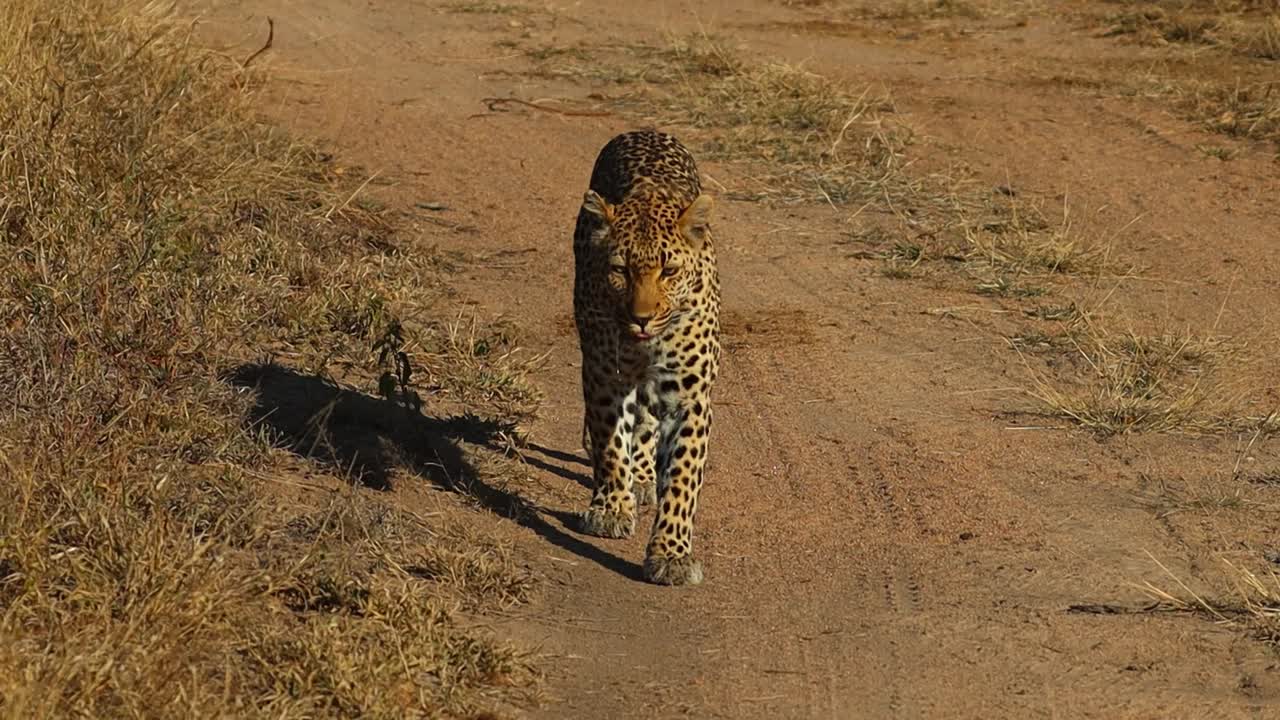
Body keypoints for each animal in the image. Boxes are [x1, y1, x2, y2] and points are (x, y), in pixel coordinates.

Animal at [572, 129, 722, 587]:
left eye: (668, 271)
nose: (641, 318)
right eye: (619, 270)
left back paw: (643, 477)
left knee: (647, 422)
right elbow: (609, 444)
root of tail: (646, 130)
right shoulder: (605, 376)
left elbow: (684, 478)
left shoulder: (690, 398)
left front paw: (671, 554)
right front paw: (610, 509)